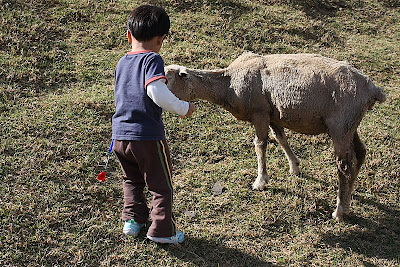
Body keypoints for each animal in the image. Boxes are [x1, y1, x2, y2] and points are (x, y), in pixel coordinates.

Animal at [164, 52, 386, 222]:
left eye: (166, 78)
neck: (228, 84)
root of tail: (373, 90)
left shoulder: (260, 112)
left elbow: (260, 144)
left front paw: (260, 181)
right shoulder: (274, 115)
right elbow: (281, 138)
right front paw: (295, 167)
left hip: (341, 126)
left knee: (344, 166)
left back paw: (339, 211)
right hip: (350, 125)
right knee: (360, 155)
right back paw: (348, 200)